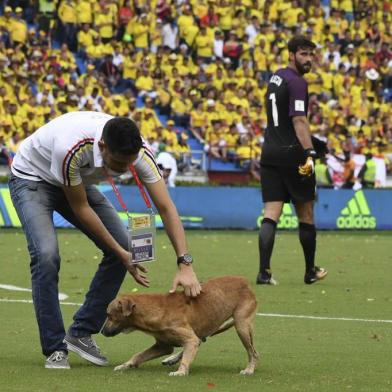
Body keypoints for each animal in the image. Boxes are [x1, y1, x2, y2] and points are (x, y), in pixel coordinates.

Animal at [102, 274, 258, 376]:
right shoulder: (163, 346)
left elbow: (190, 348)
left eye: (109, 315)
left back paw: (249, 369)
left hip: (242, 326)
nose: (102, 332)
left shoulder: (189, 338)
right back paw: (172, 359)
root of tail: (245, 282)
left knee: (253, 352)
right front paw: (126, 365)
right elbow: (138, 355)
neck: (156, 310)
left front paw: (181, 371)